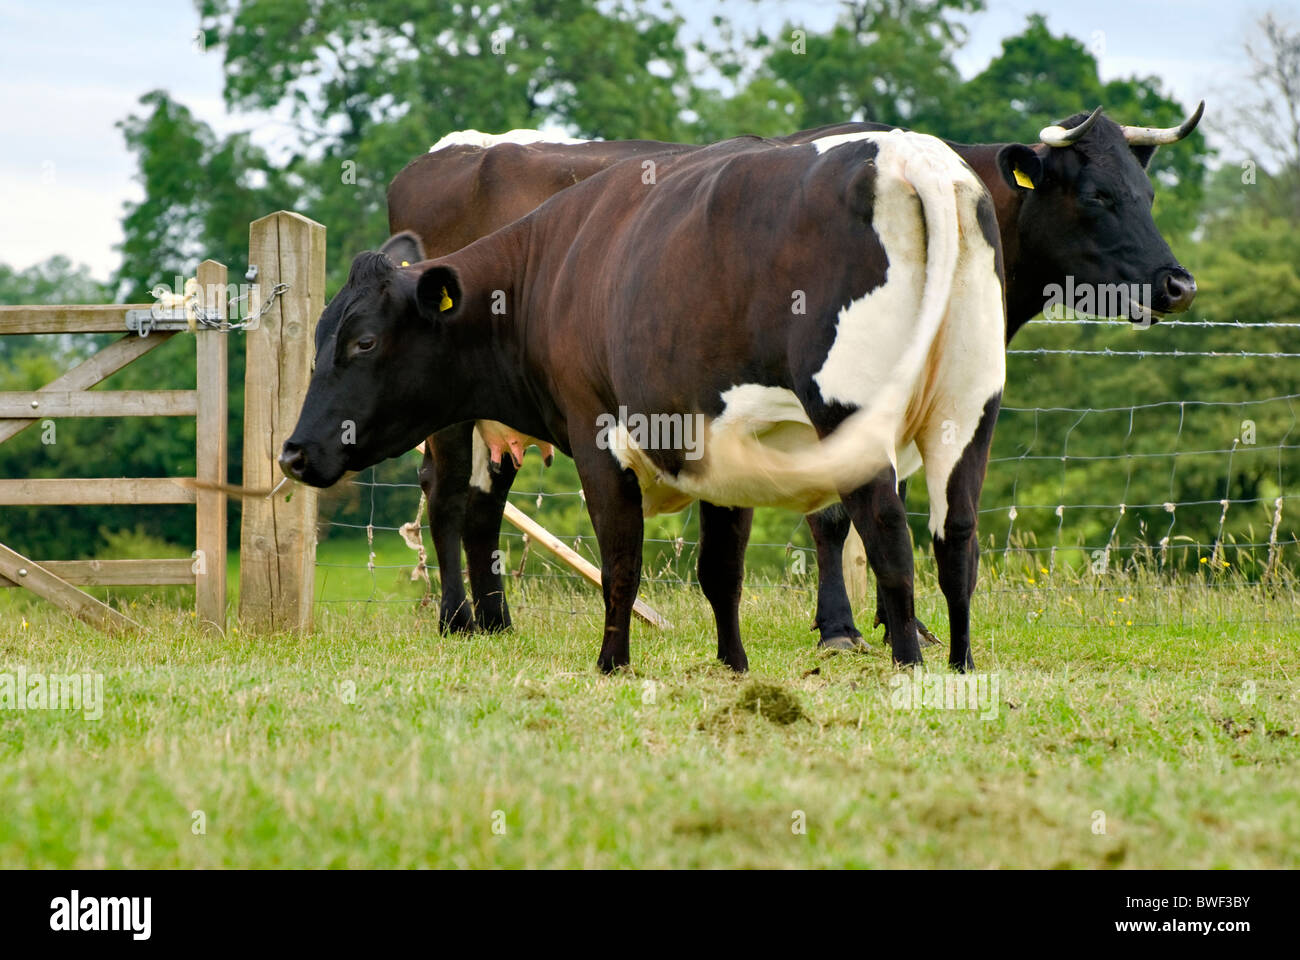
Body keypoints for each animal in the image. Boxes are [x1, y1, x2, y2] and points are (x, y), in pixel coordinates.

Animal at [284, 130, 1008, 671]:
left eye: (364, 342)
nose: (292, 454)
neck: (558, 262)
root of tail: (909, 154)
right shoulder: (721, 445)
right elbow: (720, 569)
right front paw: (731, 666)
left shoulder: (596, 432)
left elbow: (621, 558)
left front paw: (613, 664)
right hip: (969, 409)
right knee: (957, 534)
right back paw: (960, 665)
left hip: (850, 411)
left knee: (888, 531)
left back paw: (909, 662)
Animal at [387, 100, 1206, 647]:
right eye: (1097, 195)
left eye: (1148, 193)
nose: (1179, 284)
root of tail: (451, 152)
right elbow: (834, 515)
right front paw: (841, 627)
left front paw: (903, 627)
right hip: (450, 403)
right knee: (449, 493)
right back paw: (458, 620)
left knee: (486, 499)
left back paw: (497, 619)